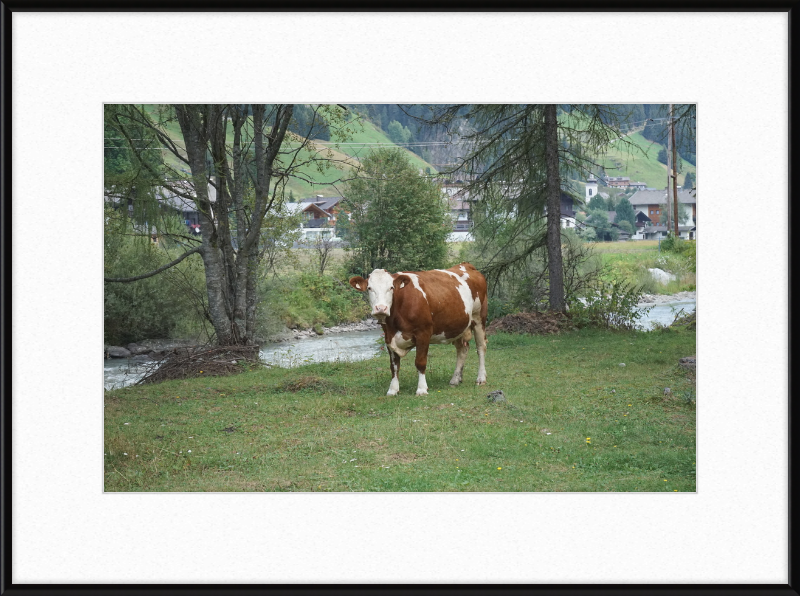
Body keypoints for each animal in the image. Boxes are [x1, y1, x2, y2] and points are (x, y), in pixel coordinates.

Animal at [348, 262, 488, 396]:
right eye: (370, 288)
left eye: (391, 288)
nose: (381, 308)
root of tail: (466, 265)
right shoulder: (388, 336)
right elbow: (394, 366)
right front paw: (392, 390)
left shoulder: (423, 333)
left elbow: (420, 362)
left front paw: (421, 389)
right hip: (458, 326)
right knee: (462, 350)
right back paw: (455, 379)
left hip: (479, 318)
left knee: (481, 347)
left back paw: (481, 378)